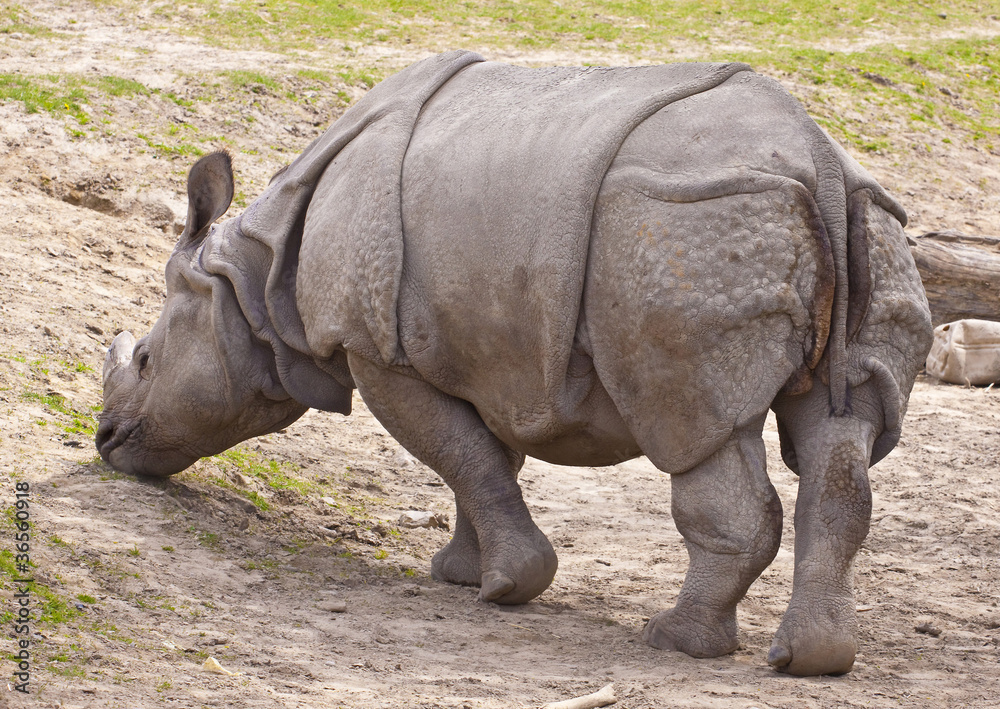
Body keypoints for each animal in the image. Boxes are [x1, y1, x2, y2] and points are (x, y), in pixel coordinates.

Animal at [97, 50, 933, 676]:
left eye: (144, 357)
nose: (106, 441)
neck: (254, 281)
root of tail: (818, 158)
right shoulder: (475, 347)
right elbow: (478, 458)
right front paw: (461, 571)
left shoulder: (377, 349)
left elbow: (459, 454)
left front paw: (506, 587)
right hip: (872, 223)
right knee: (840, 433)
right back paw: (808, 660)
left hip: (684, 224)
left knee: (691, 424)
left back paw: (675, 640)